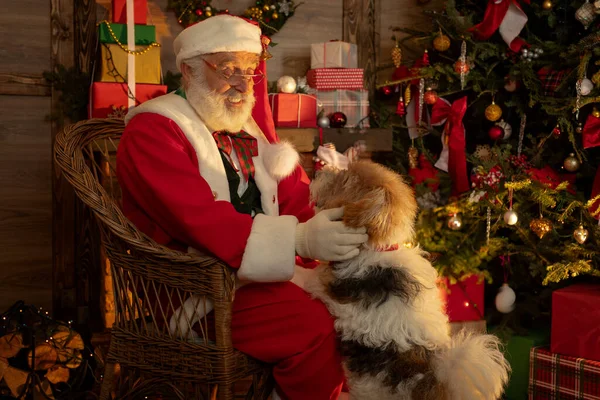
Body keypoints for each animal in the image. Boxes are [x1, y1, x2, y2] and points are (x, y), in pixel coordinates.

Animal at [304, 161, 510, 398]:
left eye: (346, 180)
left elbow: (313, 277)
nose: (317, 171)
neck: (380, 247)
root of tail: (435, 381)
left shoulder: (329, 287)